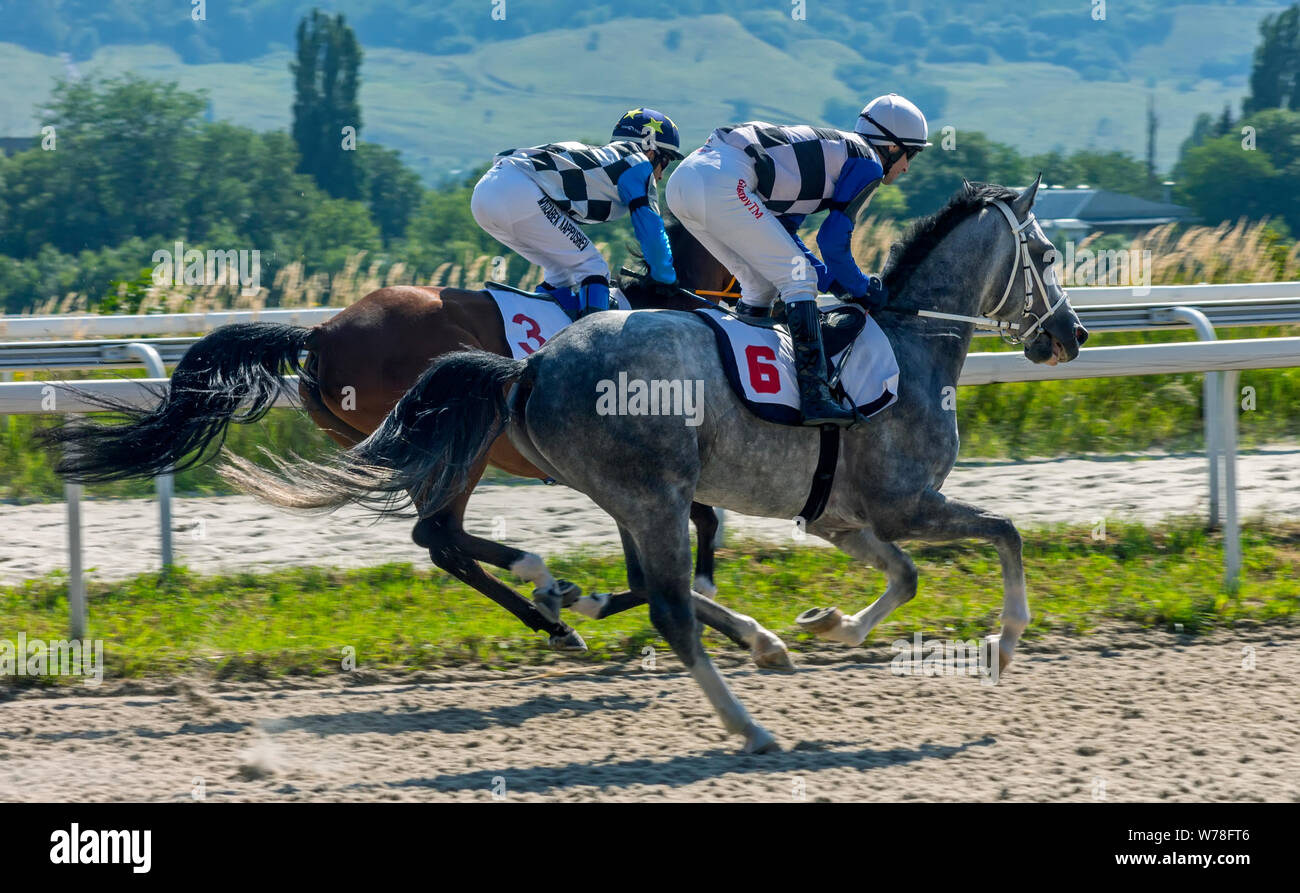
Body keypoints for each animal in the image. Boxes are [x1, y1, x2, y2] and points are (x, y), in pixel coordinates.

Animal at [226, 181, 1086, 753]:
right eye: (1046, 253)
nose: (1070, 334)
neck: (908, 343)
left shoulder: (843, 517)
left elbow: (903, 575)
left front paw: (826, 623)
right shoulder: (905, 500)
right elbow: (1005, 531)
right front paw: (1005, 640)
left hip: (618, 490)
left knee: (543, 560)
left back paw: (585, 611)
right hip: (601, 483)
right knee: (485, 549)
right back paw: (730, 712)